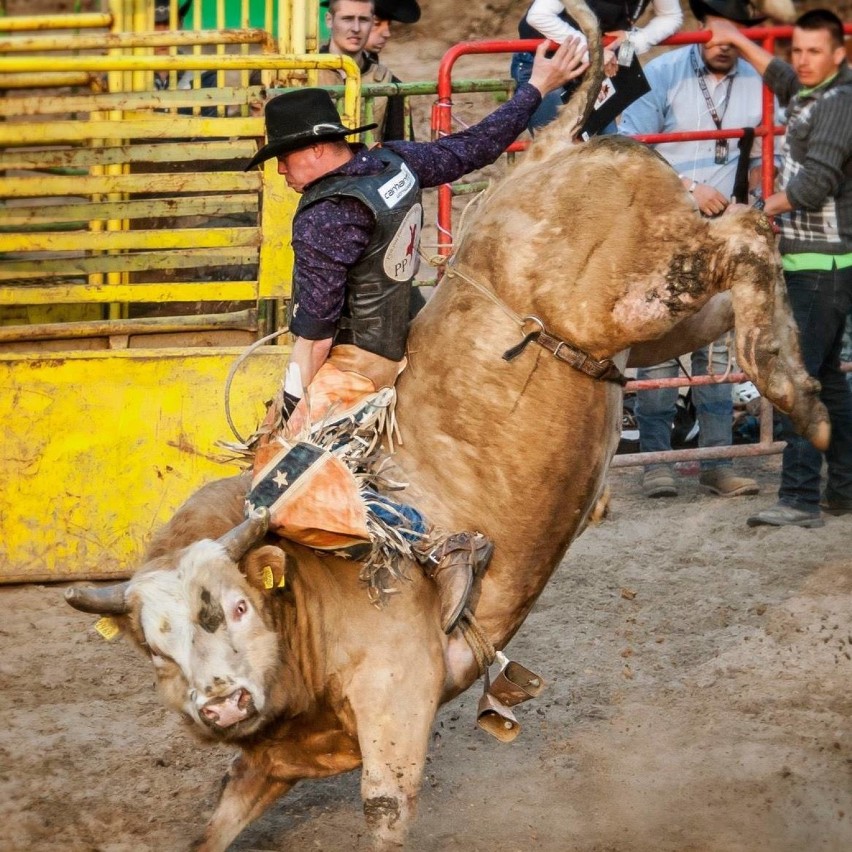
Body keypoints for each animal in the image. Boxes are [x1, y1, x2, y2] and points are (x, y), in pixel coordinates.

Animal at [65, 3, 824, 848]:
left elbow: (384, 810)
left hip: (632, 295)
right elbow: (213, 827)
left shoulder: (397, 694)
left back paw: (798, 396)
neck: (300, 604)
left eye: (235, 606)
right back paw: (794, 380)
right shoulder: (270, 760)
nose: (221, 703)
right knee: (741, 276)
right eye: (155, 646)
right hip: (656, 330)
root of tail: (551, 153)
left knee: (749, 234)